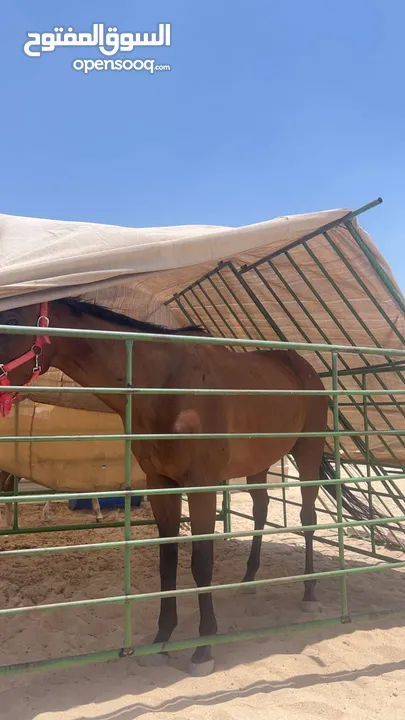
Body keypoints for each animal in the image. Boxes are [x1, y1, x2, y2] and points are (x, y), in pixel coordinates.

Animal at [0, 296, 366, 676]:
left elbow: (201, 563)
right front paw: (163, 636)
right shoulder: (161, 484)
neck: (165, 385)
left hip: (307, 452)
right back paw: (249, 580)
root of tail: (304, 369)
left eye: (13, 319)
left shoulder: (201, 485)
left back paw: (309, 593)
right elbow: (168, 560)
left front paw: (203, 647)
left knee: (308, 519)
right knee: (261, 509)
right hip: (260, 464)